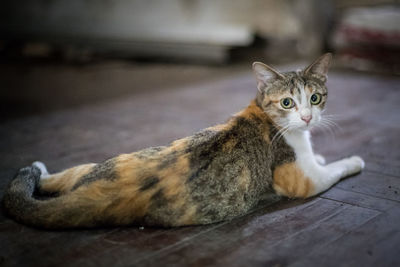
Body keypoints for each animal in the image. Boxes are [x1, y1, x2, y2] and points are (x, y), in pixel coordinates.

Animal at [3, 53, 366, 229]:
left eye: (315, 98)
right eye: (288, 103)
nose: (307, 118)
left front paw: (321, 154)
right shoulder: (303, 180)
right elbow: (333, 169)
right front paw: (352, 161)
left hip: (97, 164)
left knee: (61, 175)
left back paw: (38, 168)